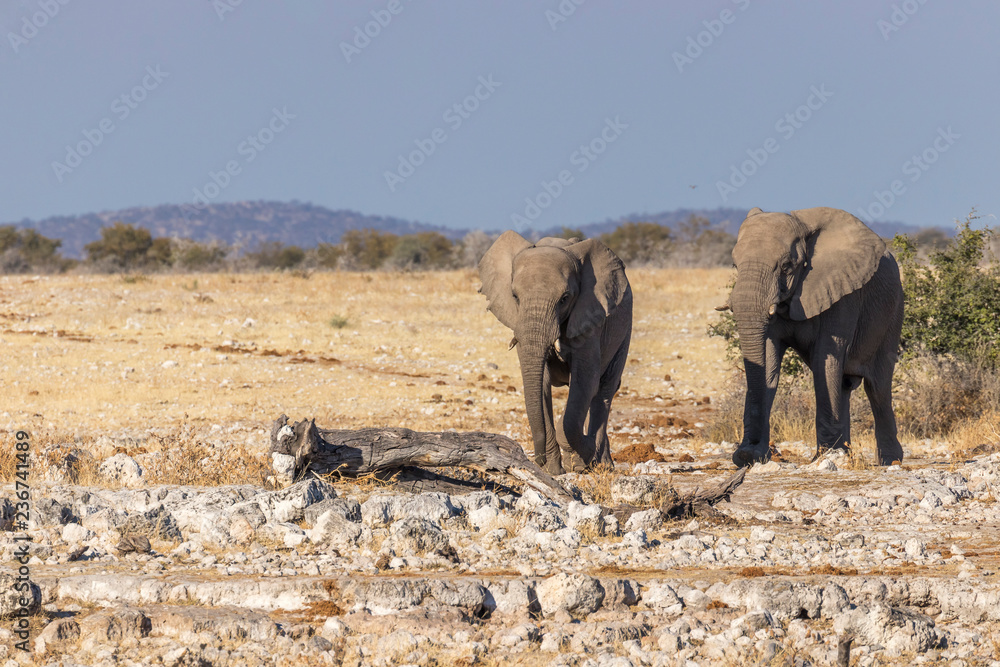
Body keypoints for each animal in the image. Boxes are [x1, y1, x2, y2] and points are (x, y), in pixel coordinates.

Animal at [478, 231, 632, 475]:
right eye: (514, 296)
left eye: (565, 298)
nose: (536, 460)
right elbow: (540, 385)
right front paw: (553, 471)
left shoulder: (590, 317)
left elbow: (585, 383)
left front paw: (581, 459)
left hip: (624, 330)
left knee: (604, 391)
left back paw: (600, 463)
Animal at [725, 207, 904, 467]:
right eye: (735, 265)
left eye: (787, 266)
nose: (750, 450)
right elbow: (767, 359)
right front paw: (751, 455)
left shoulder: (843, 292)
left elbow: (825, 358)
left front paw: (827, 457)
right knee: (844, 385)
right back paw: (848, 454)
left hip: (894, 311)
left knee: (878, 387)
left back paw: (890, 461)